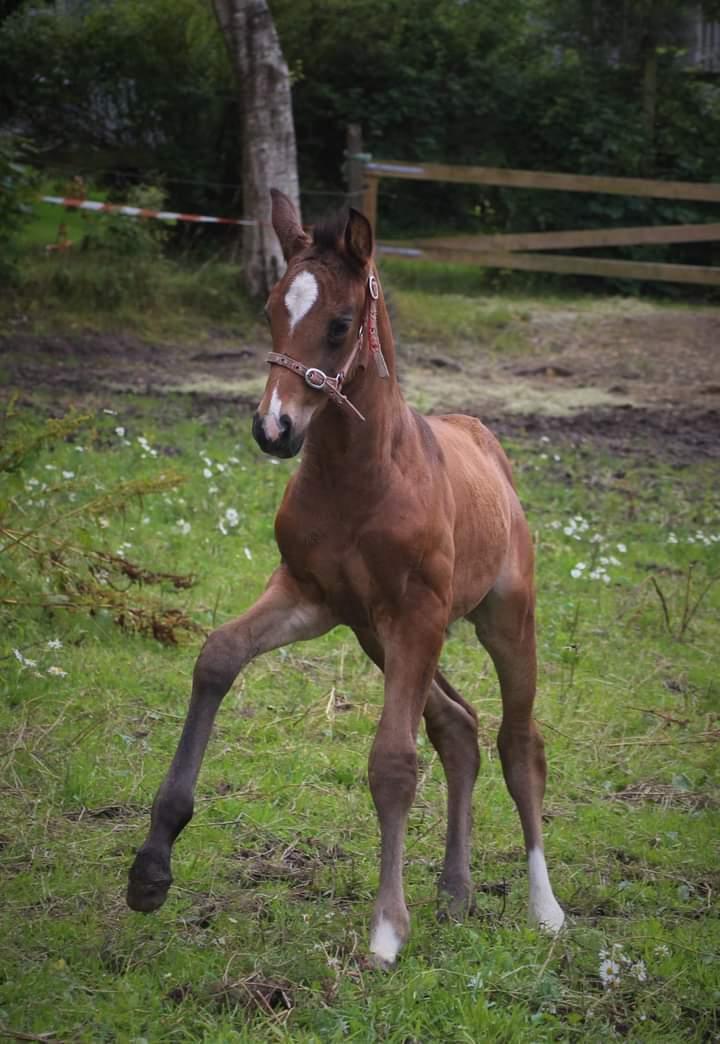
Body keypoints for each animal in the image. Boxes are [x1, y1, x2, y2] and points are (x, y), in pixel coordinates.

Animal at [130, 192, 567, 964]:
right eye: (271, 309)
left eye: (338, 324)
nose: (273, 429)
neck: (361, 478)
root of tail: (484, 440)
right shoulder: (311, 597)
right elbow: (218, 656)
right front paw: (151, 868)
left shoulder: (414, 615)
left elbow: (392, 760)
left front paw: (387, 929)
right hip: (379, 637)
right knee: (459, 728)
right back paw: (455, 892)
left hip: (502, 620)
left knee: (519, 743)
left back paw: (545, 909)